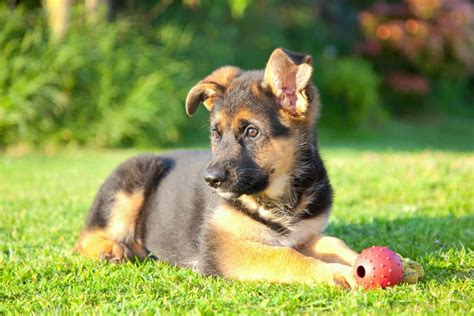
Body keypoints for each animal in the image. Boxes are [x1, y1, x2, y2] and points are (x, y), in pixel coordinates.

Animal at [77, 48, 360, 288]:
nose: (210, 180)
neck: (279, 199)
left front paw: (358, 263)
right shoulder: (223, 248)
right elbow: (285, 256)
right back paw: (111, 249)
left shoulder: (305, 235)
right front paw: (336, 272)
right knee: (84, 238)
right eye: (216, 133)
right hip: (136, 175)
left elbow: (334, 242)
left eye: (252, 132)